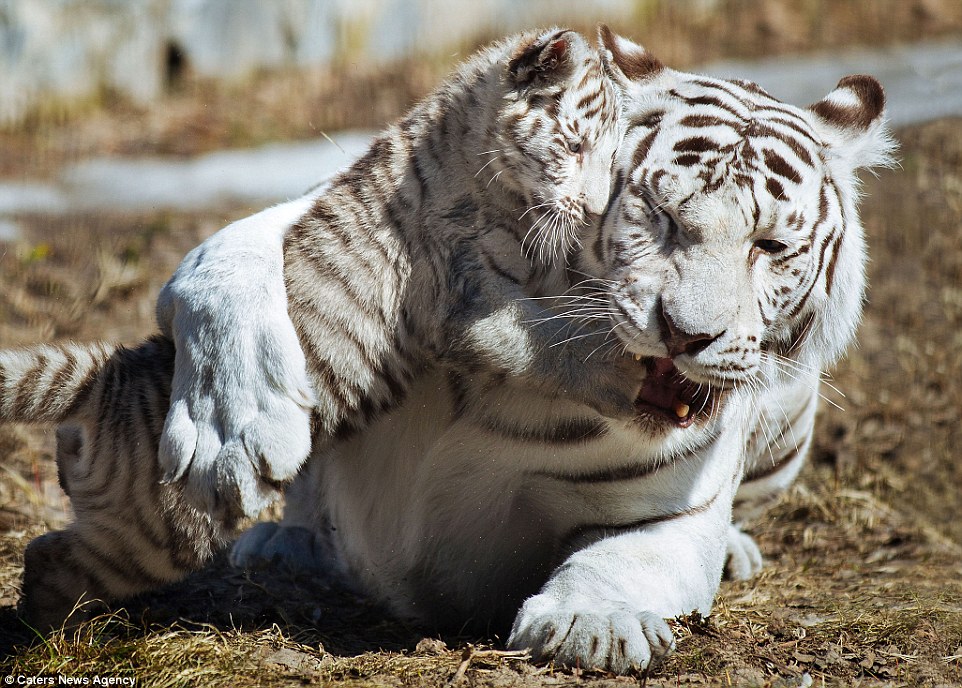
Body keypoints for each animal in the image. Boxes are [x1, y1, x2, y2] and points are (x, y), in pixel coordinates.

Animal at [152, 32, 892, 672]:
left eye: (769, 246)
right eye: (659, 214)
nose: (684, 333)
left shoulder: (670, 513)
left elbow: (619, 559)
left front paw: (592, 625)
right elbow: (228, 260)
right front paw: (226, 436)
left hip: (791, 425)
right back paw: (284, 542)